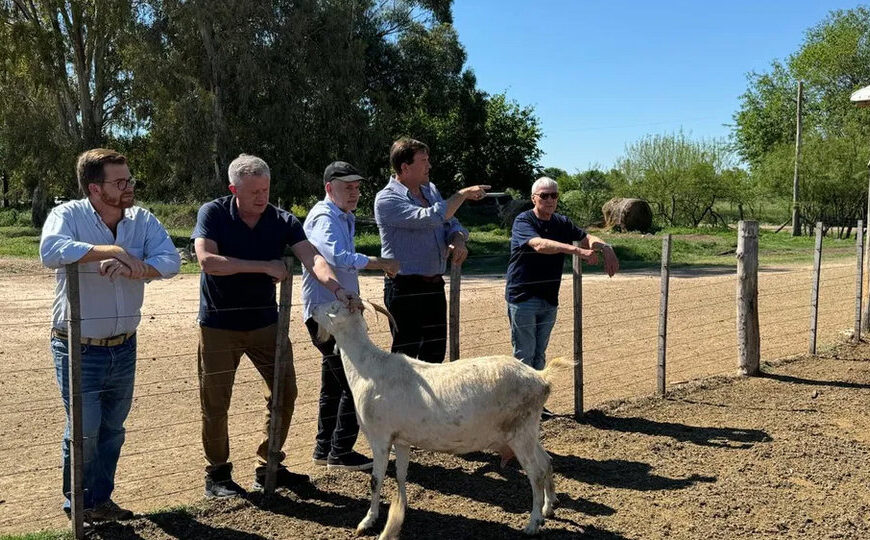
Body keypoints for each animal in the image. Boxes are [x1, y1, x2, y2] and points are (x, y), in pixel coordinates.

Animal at [314, 302, 560, 536]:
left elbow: (375, 481)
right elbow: (401, 474)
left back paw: (533, 523)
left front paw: (368, 521)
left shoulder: (380, 437)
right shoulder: (401, 439)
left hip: (520, 433)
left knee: (536, 473)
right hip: (527, 431)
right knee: (546, 461)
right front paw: (401, 507)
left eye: (334, 307)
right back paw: (549, 507)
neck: (368, 369)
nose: (313, 311)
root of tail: (542, 378)